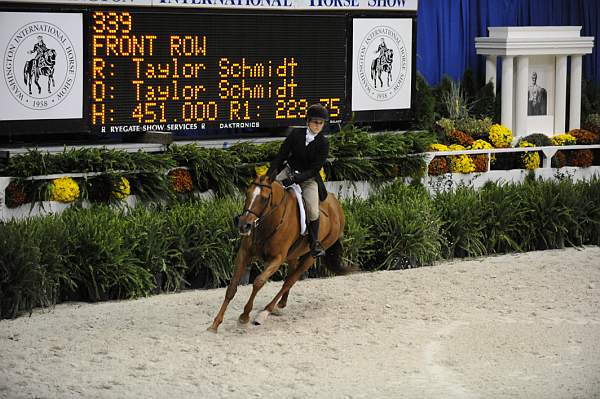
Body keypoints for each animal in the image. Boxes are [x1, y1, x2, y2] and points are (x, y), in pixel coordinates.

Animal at [209, 176, 354, 334]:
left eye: (264, 199)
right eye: (247, 193)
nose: (243, 225)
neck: (268, 221)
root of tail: (337, 206)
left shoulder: (277, 259)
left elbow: (258, 282)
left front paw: (244, 317)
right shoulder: (244, 253)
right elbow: (232, 287)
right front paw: (215, 324)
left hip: (311, 256)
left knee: (289, 281)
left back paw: (266, 312)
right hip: (294, 255)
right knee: (289, 277)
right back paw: (280, 305)